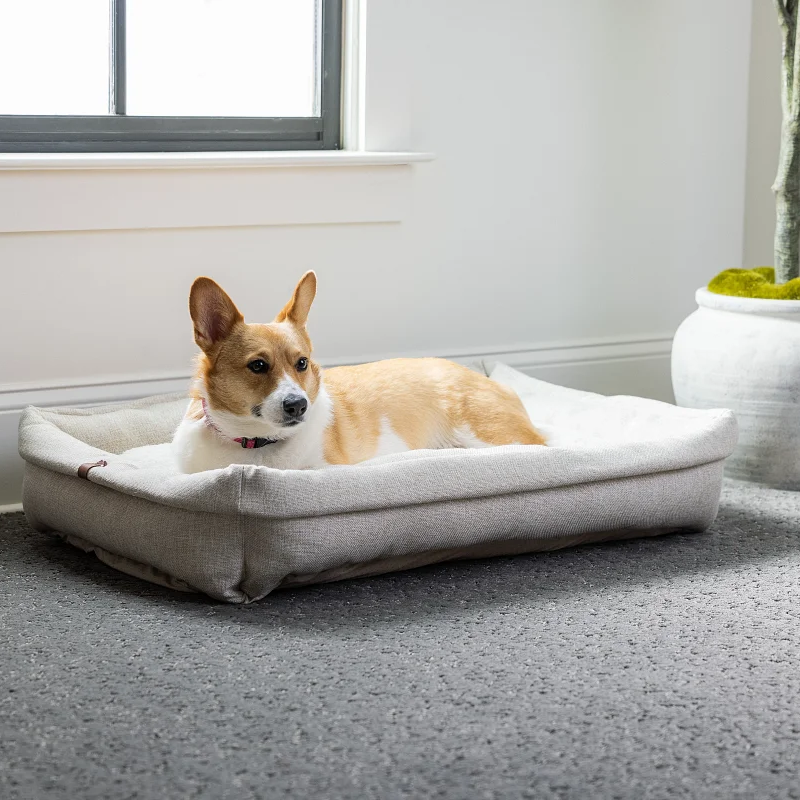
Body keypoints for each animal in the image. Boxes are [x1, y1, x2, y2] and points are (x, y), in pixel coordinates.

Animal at [172, 272, 548, 472]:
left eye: (302, 363)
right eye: (258, 366)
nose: (298, 405)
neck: (255, 443)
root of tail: (493, 382)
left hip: (490, 435)